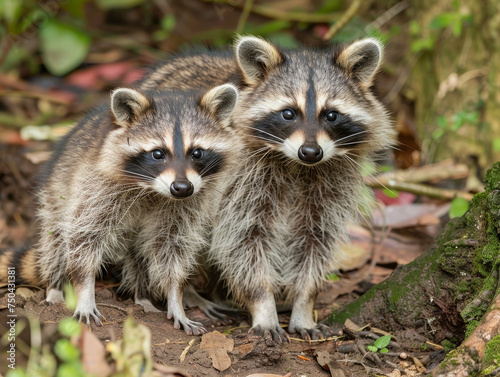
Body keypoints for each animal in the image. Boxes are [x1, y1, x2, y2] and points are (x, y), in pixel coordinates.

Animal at [0, 83, 238, 334]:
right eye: (158, 153)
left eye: (197, 152)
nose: (182, 188)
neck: (152, 189)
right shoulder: (97, 186)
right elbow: (83, 238)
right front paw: (85, 292)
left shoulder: (187, 203)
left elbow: (172, 246)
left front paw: (175, 297)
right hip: (54, 194)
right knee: (56, 241)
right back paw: (55, 286)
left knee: (139, 253)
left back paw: (143, 297)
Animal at [141, 36, 394, 342]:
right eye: (288, 113)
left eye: (331, 115)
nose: (311, 152)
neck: (297, 165)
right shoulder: (240, 180)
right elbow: (244, 240)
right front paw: (263, 303)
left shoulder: (331, 181)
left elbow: (314, 238)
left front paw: (304, 302)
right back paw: (188, 291)